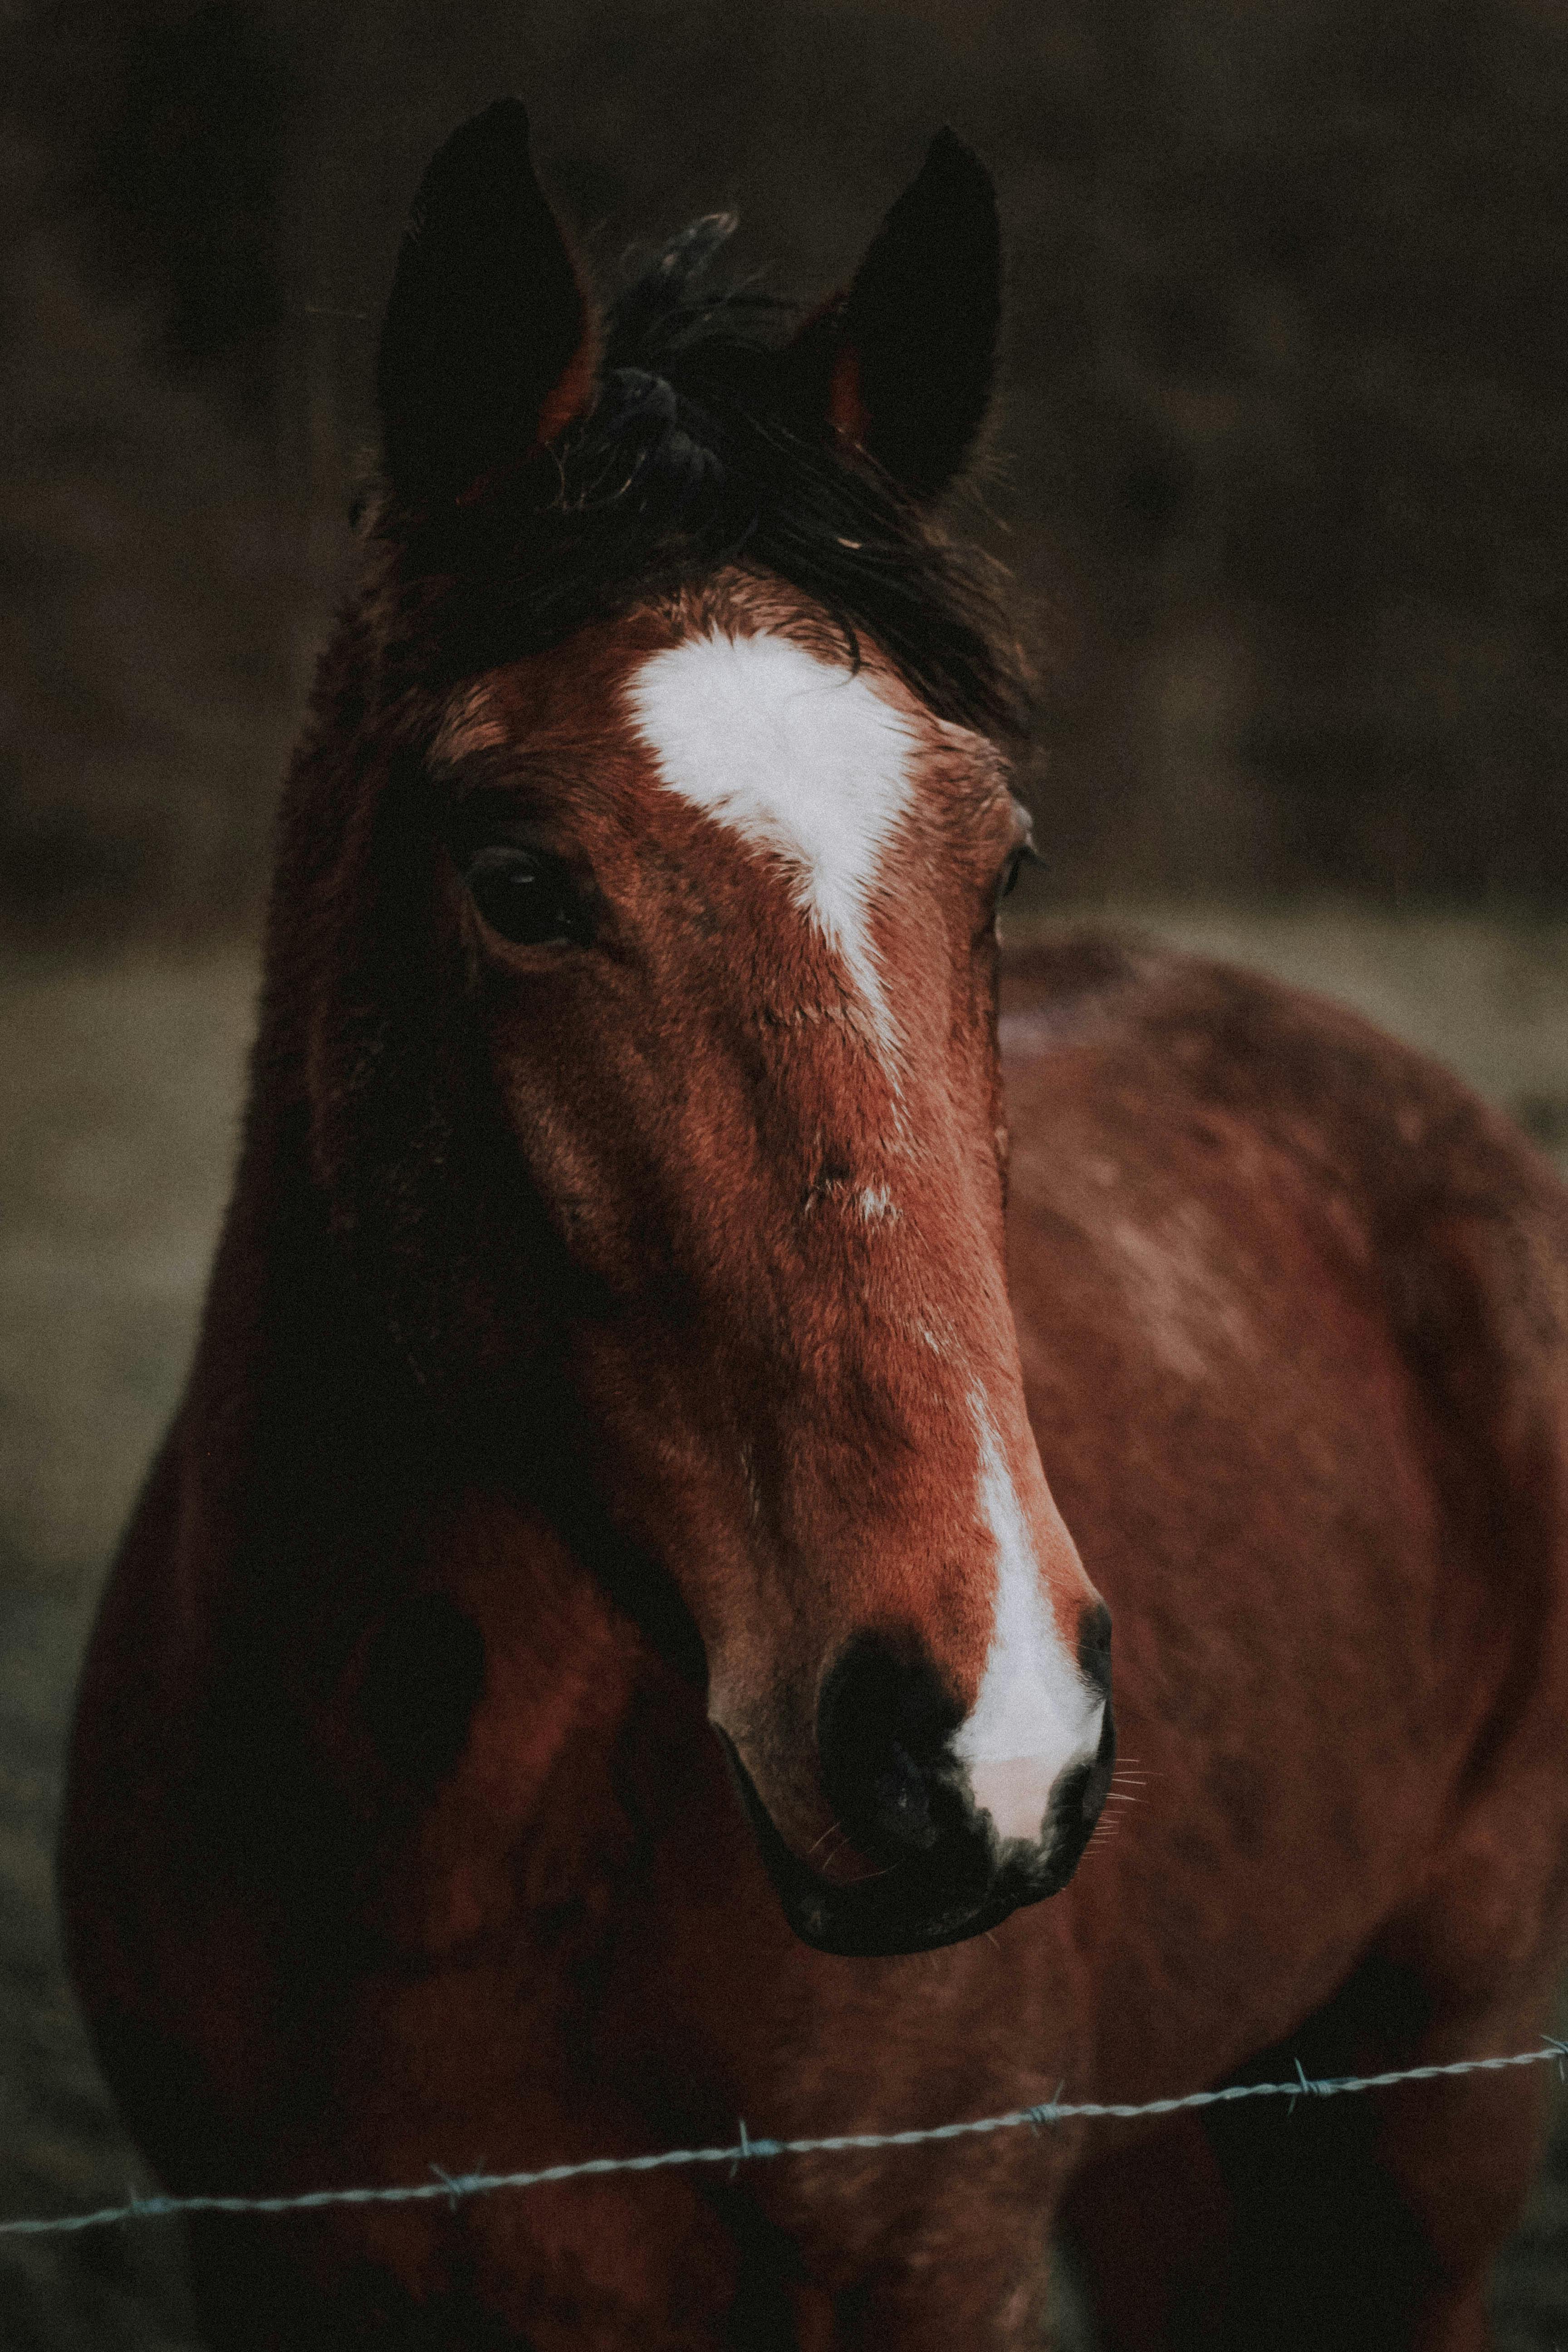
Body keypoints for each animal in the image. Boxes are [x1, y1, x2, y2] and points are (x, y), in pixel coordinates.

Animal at [59, 100, 1568, 2350]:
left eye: (997, 863)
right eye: (515, 880)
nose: (988, 1733)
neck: (435, 1846)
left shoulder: (932, 2259)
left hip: (1423, 2112)